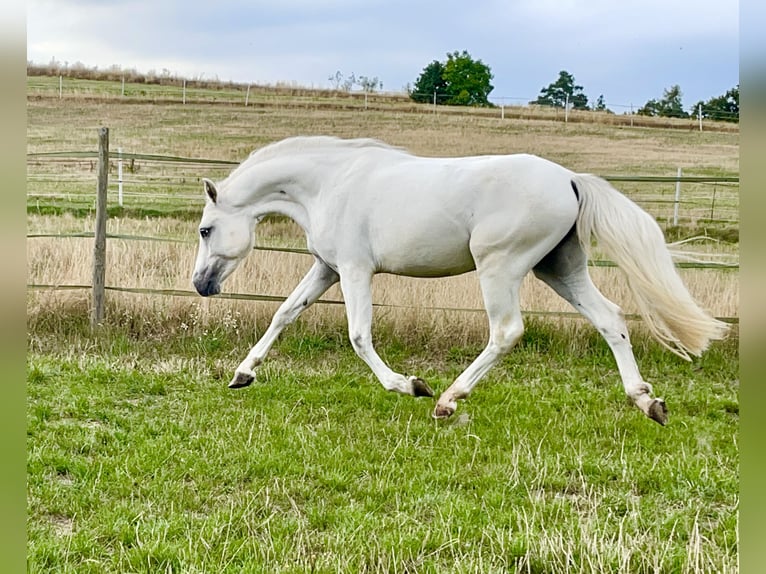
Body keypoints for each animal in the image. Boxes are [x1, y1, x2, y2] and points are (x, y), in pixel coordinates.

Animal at [192, 134, 728, 424]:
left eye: (205, 229)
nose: (200, 285)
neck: (328, 184)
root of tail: (571, 179)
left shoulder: (355, 270)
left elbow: (359, 335)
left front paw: (411, 385)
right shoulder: (327, 267)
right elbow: (284, 314)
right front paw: (243, 374)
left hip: (501, 268)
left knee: (507, 331)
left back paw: (448, 401)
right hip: (559, 268)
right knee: (611, 319)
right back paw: (648, 402)